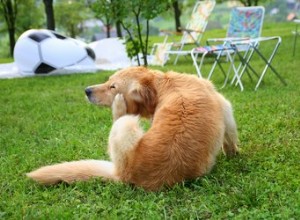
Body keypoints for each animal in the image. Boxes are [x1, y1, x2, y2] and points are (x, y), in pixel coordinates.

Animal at [27, 66, 239, 191]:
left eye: (112, 86)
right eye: (107, 80)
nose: (86, 90)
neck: (162, 84)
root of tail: (123, 175)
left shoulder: (225, 105)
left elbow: (230, 136)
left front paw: (232, 154)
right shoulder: (225, 106)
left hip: (127, 124)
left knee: (119, 119)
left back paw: (118, 106)